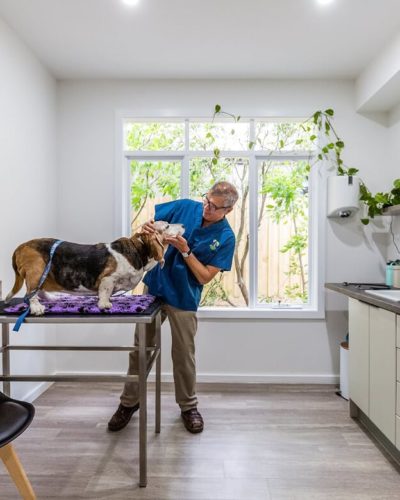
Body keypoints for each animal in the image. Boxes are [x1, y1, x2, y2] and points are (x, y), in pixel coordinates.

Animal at [4, 221, 184, 314]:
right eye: (167, 226)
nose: (182, 225)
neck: (139, 249)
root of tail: (21, 246)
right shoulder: (108, 278)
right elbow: (105, 292)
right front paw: (104, 304)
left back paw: (51, 298)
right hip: (37, 270)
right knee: (30, 293)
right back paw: (36, 307)